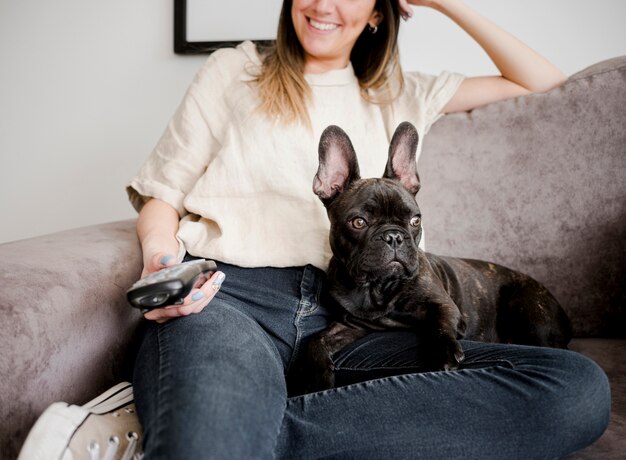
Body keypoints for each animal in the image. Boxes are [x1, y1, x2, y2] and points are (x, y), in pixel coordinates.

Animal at [304, 120, 572, 390]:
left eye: (415, 220)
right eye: (358, 222)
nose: (394, 236)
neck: (378, 289)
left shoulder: (444, 306)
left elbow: (439, 324)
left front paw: (444, 351)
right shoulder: (350, 325)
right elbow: (314, 341)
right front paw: (315, 377)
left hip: (526, 308)